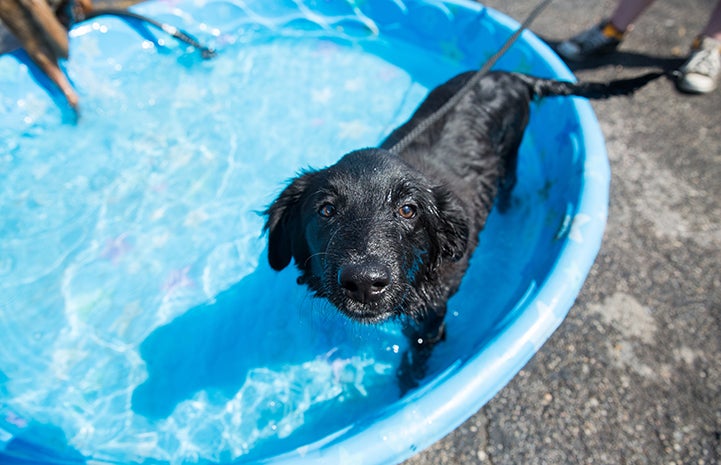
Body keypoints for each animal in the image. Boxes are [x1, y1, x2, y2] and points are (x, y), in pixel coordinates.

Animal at [262, 69, 660, 390]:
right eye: (326, 210)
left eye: (408, 210)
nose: (364, 282)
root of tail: (509, 74)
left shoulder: (432, 316)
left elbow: (419, 351)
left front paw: (408, 383)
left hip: (512, 150)